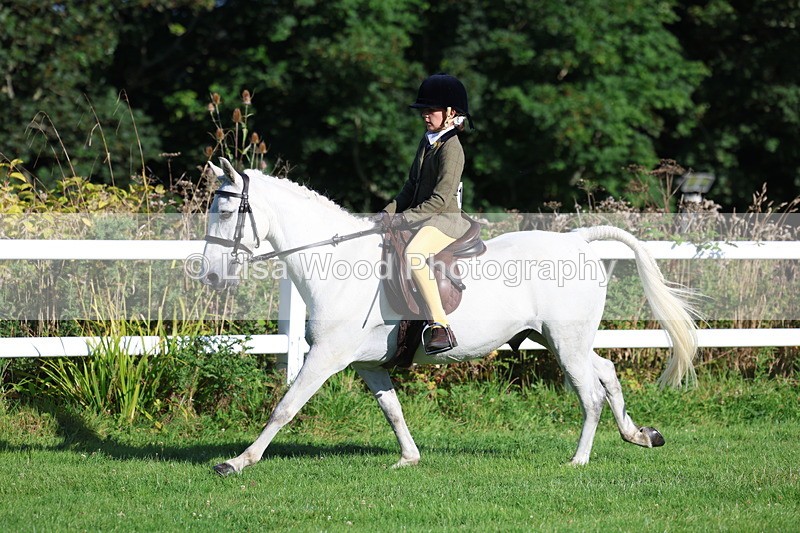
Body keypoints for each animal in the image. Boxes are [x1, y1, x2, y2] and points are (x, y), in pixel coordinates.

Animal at [200, 158, 698, 475]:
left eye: (225, 210)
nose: (210, 274)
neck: (339, 267)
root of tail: (577, 239)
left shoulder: (326, 357)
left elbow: (285, 407)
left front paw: (237, 462)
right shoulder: (366, 364)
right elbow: (393, 410)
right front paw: (409, 459)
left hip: (566, 342)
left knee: (590, 394)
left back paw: (579, 460)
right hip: (557, 338)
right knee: (608, 371)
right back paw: (640, 435)